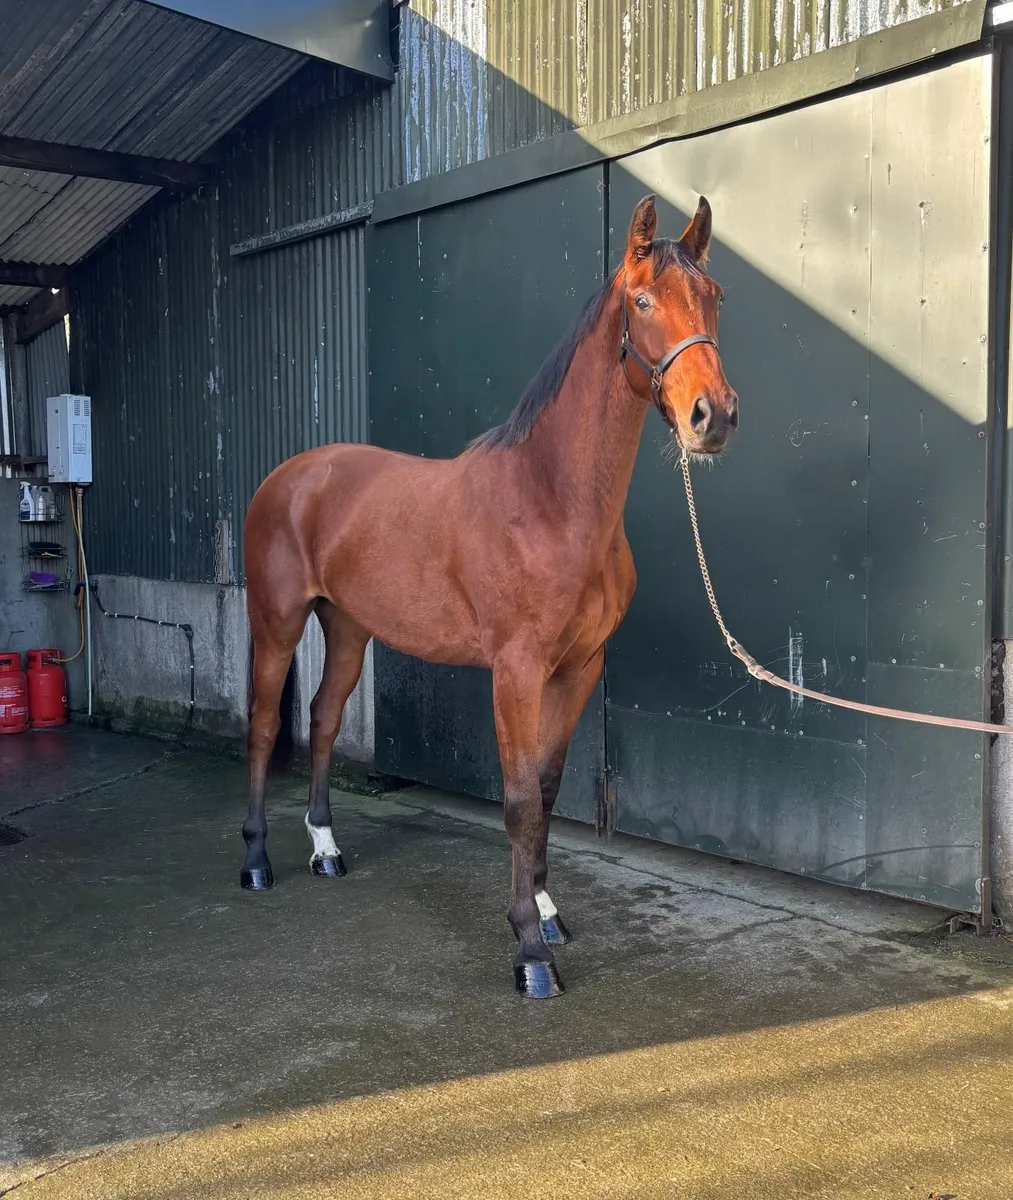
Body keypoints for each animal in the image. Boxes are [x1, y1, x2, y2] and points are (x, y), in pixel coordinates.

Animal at [241, 194, 738, 998]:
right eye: (641, 301)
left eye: (715, 298)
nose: (712, 416)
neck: (551, 501)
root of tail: (288, 476)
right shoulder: (515, 672)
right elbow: (516, 800)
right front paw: (529, 952)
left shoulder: (578, 670)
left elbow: (547, 790)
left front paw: (546, 910)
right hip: (277, 622)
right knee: (261, 727)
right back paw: (256, 862)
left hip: (347, 629)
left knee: (321, 718)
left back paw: (325, 850)